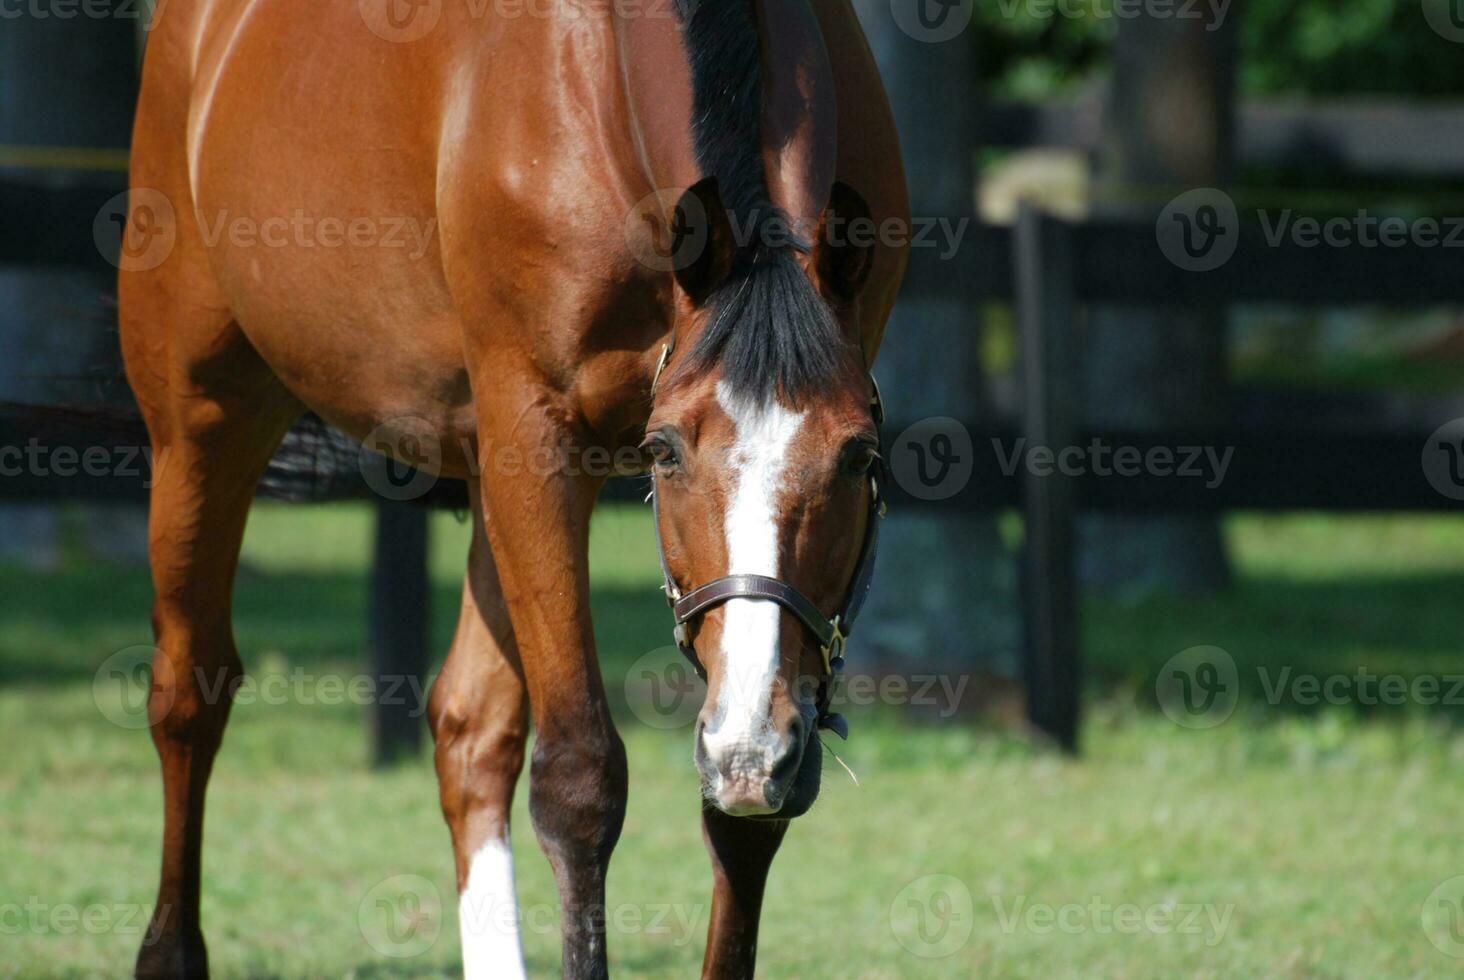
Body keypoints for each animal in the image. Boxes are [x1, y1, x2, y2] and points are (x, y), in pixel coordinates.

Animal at [122, 3, 901, 972]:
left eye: (860, 458)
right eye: (665, 452)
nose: (752, 744)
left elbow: (741, 821)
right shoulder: (532, 429)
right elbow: (579, 778)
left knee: (471, 732)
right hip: (203, 418)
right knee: (189, 694)